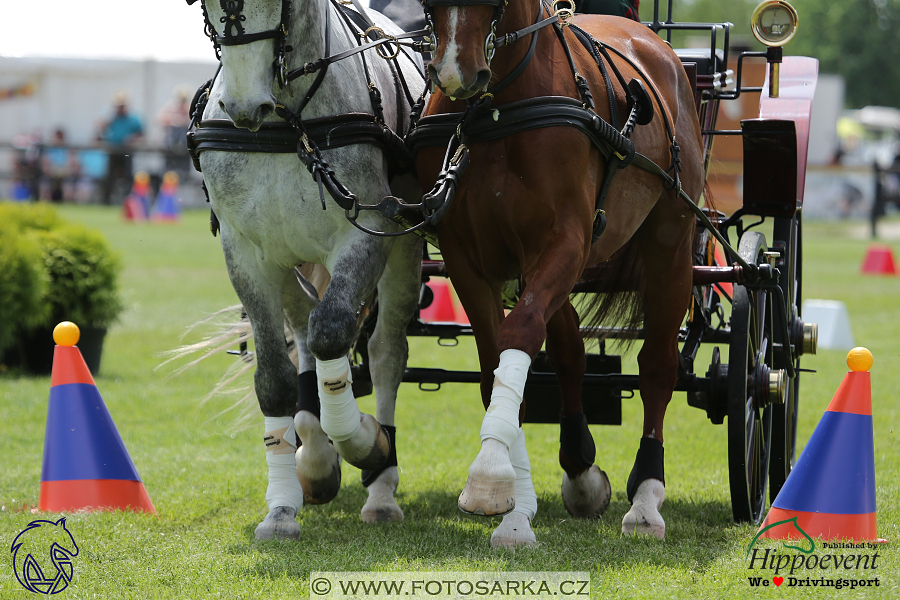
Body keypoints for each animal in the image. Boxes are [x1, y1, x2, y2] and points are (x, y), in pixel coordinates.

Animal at [414, 0, 704, 544]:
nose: (456, 72)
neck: (498, 108)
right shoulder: (467, 256)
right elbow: (498, 364)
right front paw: (513, 501)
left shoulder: (566, 241)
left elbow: (521, 333)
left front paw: (490, 477)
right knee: (570, 353)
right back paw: (580, 468)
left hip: (671, 241)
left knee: (657, 366)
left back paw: (646, 497)